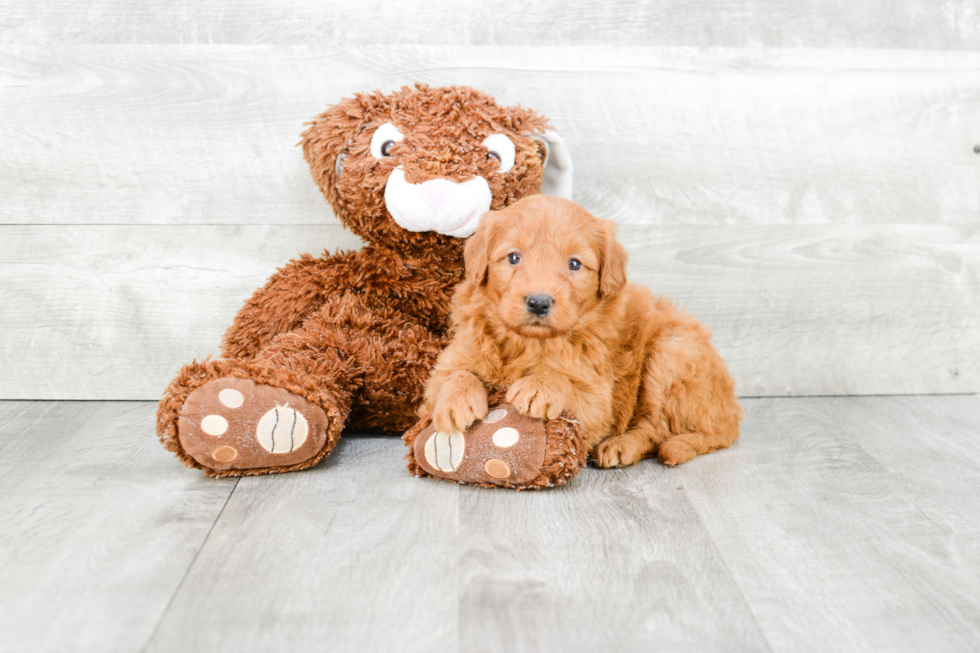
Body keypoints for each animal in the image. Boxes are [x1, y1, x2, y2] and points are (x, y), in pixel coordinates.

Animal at [424, 191, 744, 466]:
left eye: (575, 264)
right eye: (514, 257)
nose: (539, 302)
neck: (528, 342)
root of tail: (732, 411)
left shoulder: (597, 402)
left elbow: (565, 382)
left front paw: (540, 385)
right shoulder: (445, 369)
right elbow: (454, 375)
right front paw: (456, 401)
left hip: (672, 352)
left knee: (658, 429)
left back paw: (623, 446)